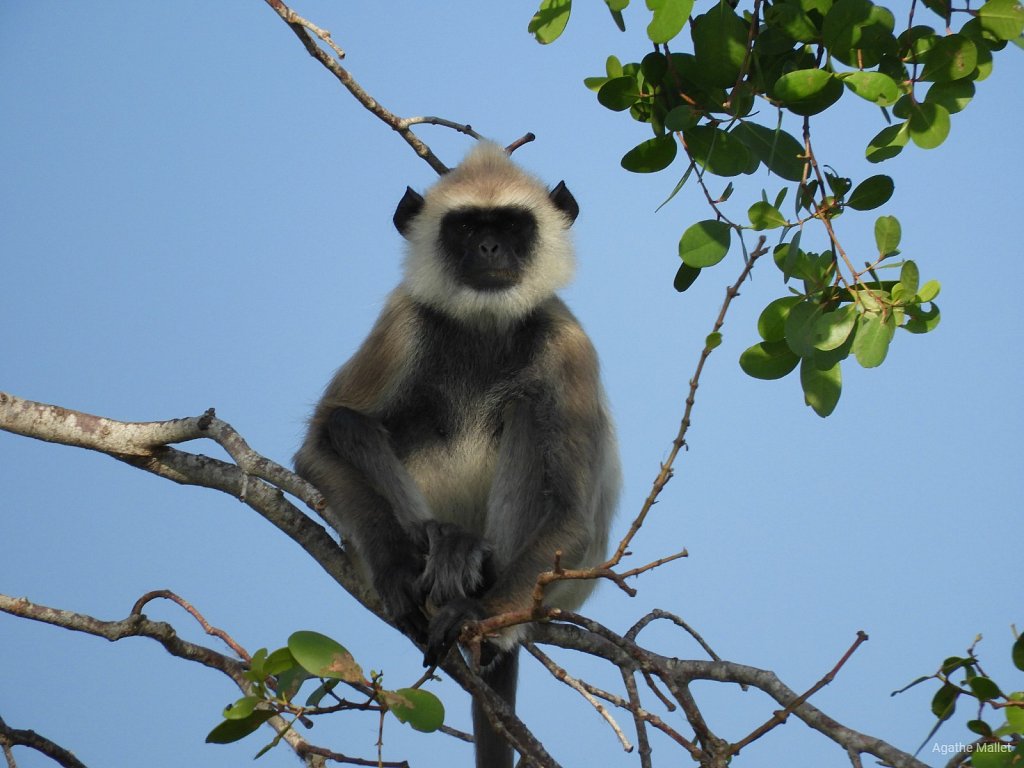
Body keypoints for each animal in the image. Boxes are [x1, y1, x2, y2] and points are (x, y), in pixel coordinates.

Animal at [292, 141, 618, 765]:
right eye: (466, 228)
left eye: (511, 227)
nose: (489, 248)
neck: (483, 326)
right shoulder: (403, 321)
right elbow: (318, 442)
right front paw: (397, 567)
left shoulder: (569, 345)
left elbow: (572, 514)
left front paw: (474, 612)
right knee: (350, 423)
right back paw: (437, 546)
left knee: (526, 412)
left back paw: (477, 579)